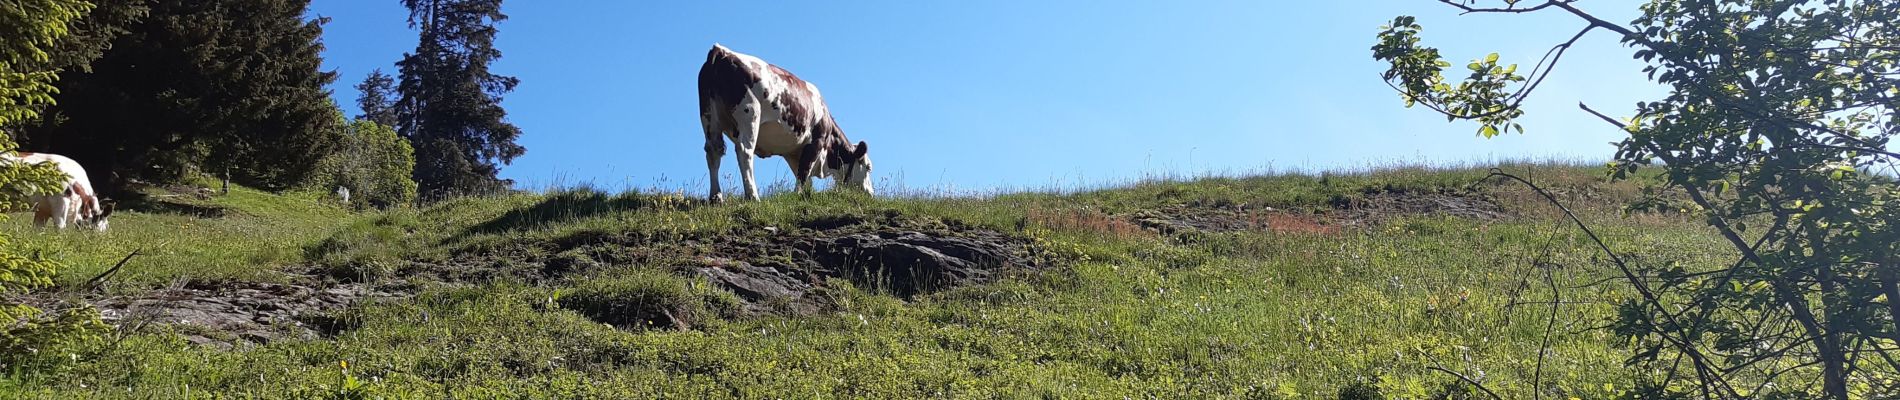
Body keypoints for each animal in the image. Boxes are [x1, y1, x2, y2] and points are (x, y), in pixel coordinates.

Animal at [699, 43, 874, 201]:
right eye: (868, 167)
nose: (871, 194)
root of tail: (722, 51)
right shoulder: (816, 142)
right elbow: (804, 172)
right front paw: (798, 195)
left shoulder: (793, 152)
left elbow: (803, 175)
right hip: (749, 114)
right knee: (744, 150)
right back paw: (752, 196)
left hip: (708, 116)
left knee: (713, 151)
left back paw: (716, 197)